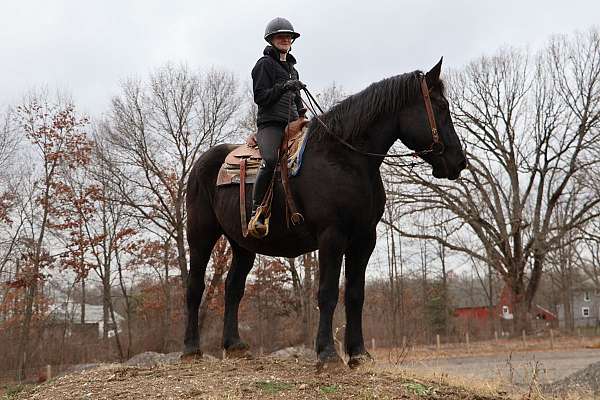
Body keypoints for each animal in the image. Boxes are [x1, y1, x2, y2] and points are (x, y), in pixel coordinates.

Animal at [185, 59, 466, 368]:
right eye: (441, 106)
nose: (459, 161)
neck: (344, 158)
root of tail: (201, 164)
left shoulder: (364, 239)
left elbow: (355, 294)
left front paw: (359, 353)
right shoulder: (332, 236)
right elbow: (328, 293)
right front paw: (328, 354)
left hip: (242, 243)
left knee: (233, 287)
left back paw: (235, 345)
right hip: (200, 236)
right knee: (195, 287)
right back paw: (191, 349)